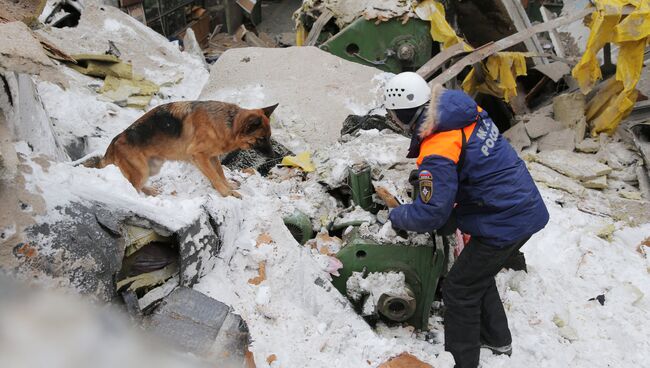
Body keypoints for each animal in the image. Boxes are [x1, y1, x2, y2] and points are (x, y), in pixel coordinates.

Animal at [90, 100, 276, 197]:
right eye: (261, 139)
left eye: (269, 136)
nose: (274, 155)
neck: (229, 123)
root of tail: (113, 143)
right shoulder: (199, 156)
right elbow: (215, 177)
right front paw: (226, 193)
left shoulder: (212, 157)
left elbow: (220, 173)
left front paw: (228, 186)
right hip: (142, 170)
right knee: (132, 185)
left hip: (152, 168)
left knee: (138, 185)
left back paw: (150, 191)